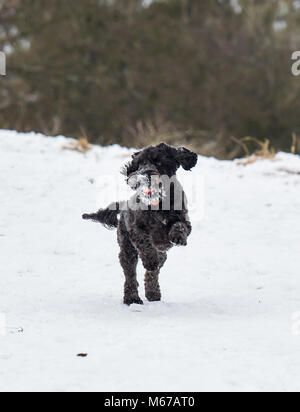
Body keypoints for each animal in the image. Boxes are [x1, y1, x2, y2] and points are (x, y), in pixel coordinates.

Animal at [83, 143, 198, 304]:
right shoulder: (135, 228)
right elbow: (145, 244)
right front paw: (149, 259)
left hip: (161, 255)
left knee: (153, 272)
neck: (158, 203)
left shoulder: (185, 221)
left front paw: (178, 237)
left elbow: (179, 225)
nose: (145, 175)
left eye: (159, 162)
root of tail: (123, 205)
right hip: (127, 249)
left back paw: (153, 292)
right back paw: (132, 297)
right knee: (131, 275)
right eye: (140, 163)